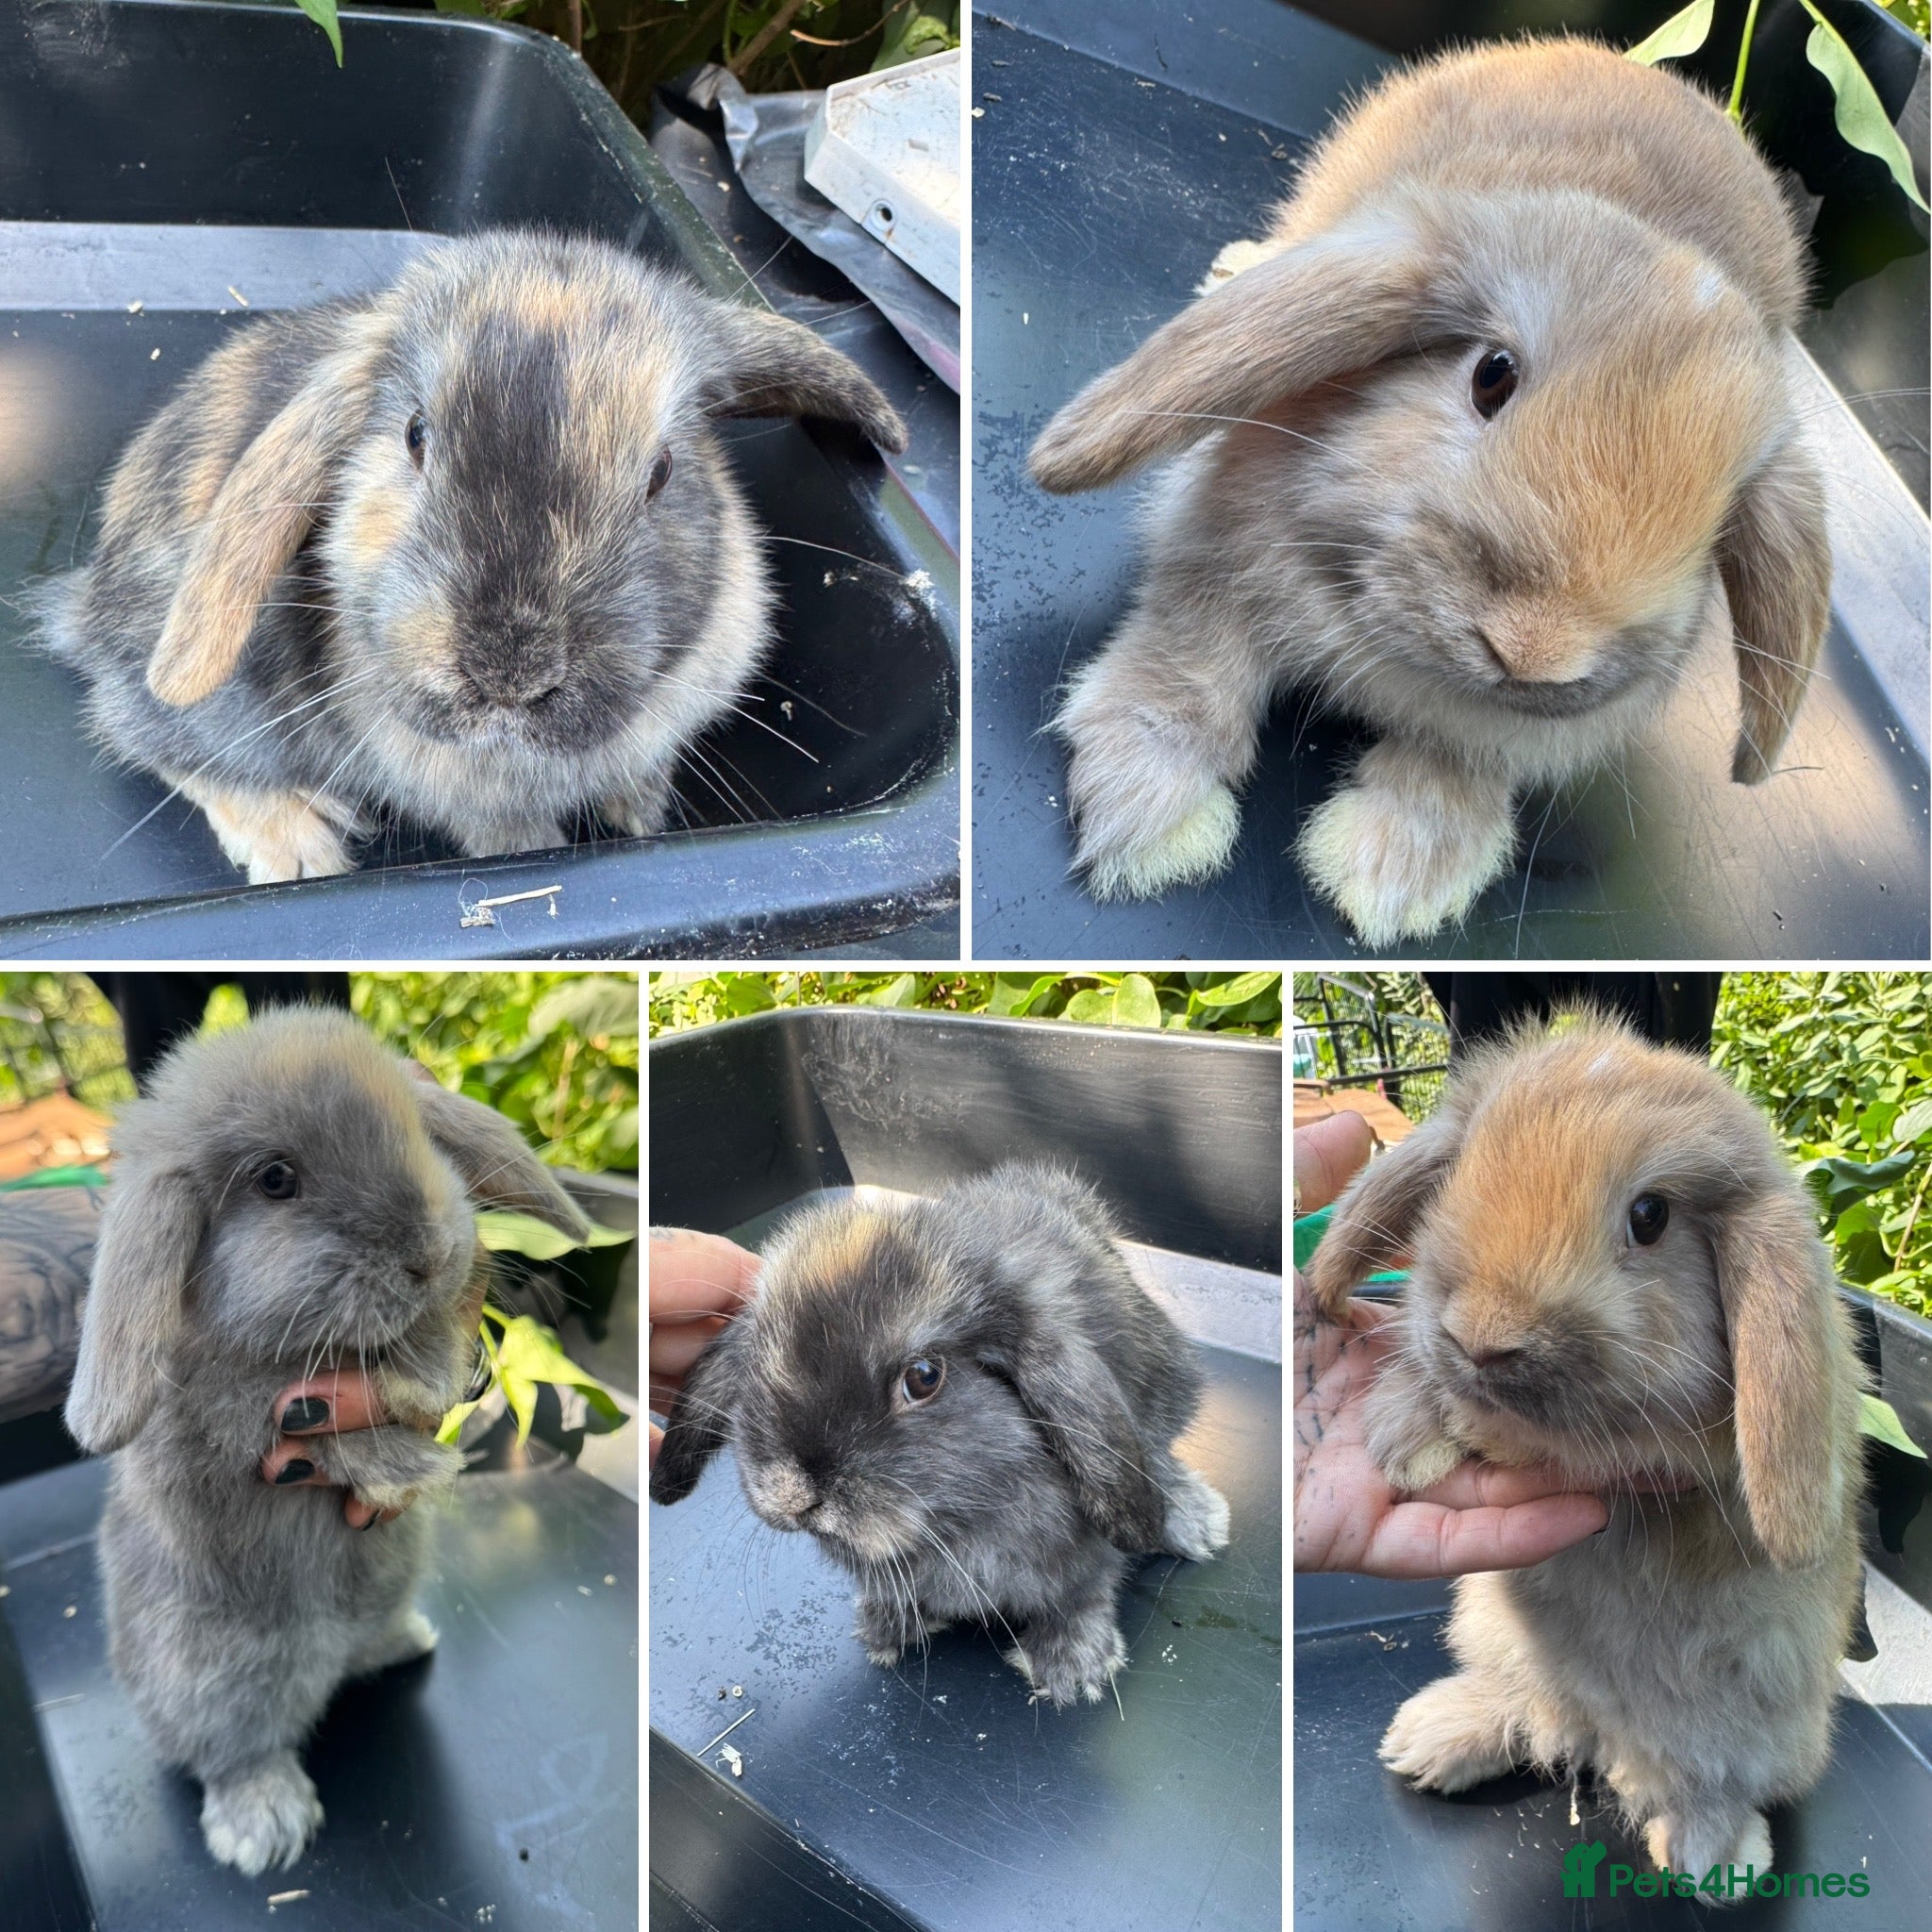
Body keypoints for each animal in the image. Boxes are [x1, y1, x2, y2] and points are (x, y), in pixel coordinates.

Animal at [41, 228, 907, 882]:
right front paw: (542, 844)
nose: (509, 675)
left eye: (662, 470)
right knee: (142, 733)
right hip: (218, 698)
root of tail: (85, 603)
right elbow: (501, 832)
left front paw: (641, 810)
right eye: (414, 436)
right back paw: (301, 845)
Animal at [62, 1005, 591, 1875]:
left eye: (415, 1129)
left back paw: (401, 1642)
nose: (429, 1254)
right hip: (215, 1680)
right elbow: (307, 1421)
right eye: (276, 1180)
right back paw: (263, 1829)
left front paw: (431, 1367)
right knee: (232, 1753)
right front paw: (415, 1448)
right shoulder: (236, 1417)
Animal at [649, 1165, 1231, 1707]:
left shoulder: (1081, 1556)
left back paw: (1196, 1522)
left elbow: (1084, 1592)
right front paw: (885, 1629)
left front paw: (1069, 1670)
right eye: (758, 1367)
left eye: (924, 1377)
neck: (951, 1528)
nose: (793, 1496)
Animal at [1028, 39, 1831, 945]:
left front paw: (1394, 877)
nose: (1534, 652)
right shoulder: (1211, 572)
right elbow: (1188, 669)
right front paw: (1143, 805)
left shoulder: (1488, 738)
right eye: (1491, 376)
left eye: (1719, 519)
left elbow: (1450, 771)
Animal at [1303, 1011, 1864, 1891]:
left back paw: (1713, 1860)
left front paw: (1414, 1435)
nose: (1483, 1338)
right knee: (1534, 1714)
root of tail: (1603, 1727)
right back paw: (1430, 1739)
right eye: (1464, 1170)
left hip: (1752, 1731)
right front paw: (1408, 1431)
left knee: (1705, 1782)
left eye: (1650, 1216)